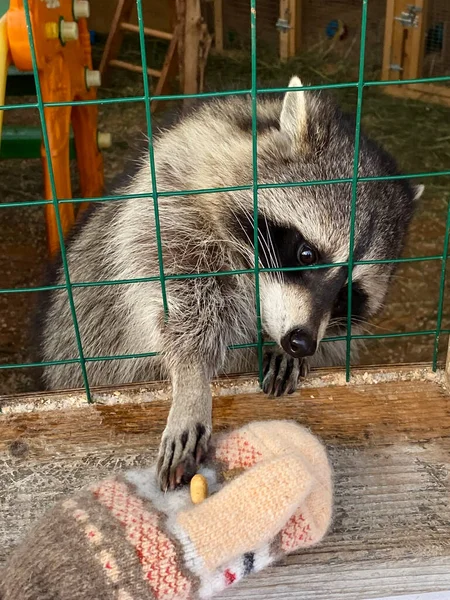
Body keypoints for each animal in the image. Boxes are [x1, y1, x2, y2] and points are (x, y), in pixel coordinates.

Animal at [34, 77, 422, 492]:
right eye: (306, 253)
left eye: (347, 296)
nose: (300, 342)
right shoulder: (173, 206)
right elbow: (178, 297)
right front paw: (192, 377)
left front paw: (284, 350)